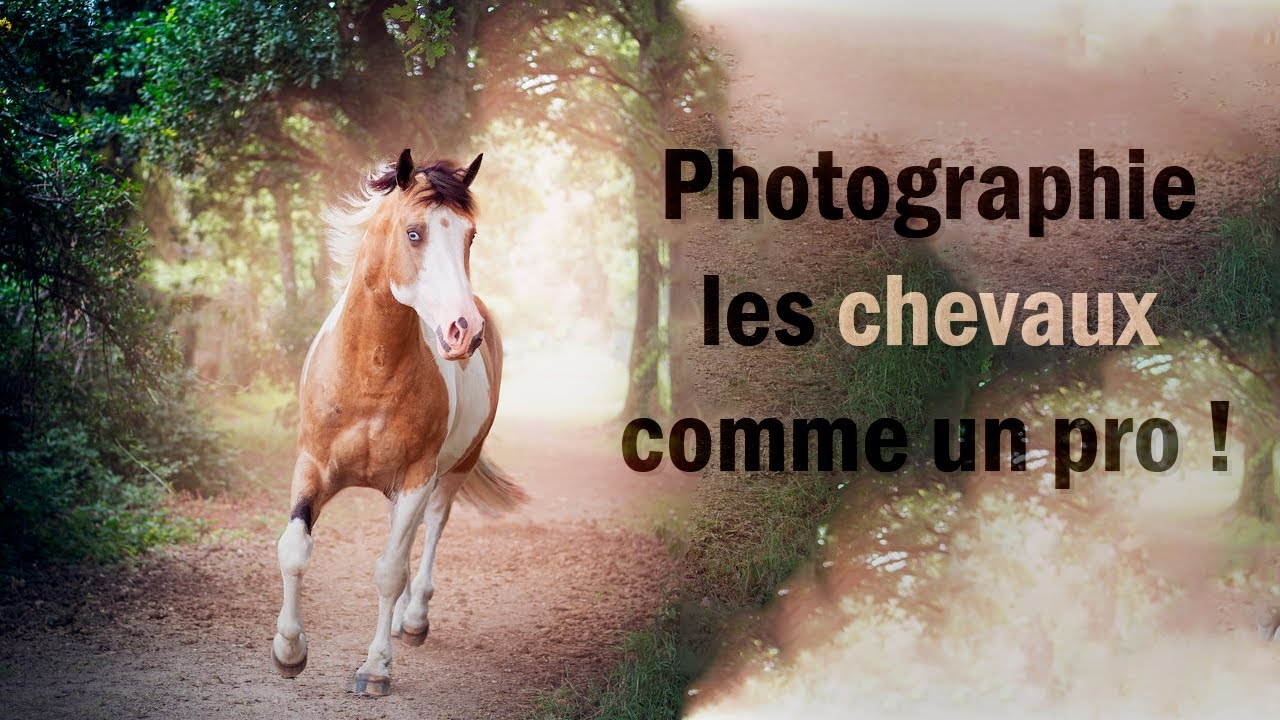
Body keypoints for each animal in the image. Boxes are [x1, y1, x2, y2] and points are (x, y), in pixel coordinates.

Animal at [270, 148, 526, 696]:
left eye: (470, 236)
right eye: (414, 233)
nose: (464, 330)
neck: (371, 370)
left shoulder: (416, 478)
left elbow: (389, 570)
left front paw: (375, 669)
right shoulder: (312, 466)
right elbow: (295, 550)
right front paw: (289, 651)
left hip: (451, 472)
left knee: (429, 535)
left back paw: (413, 621)